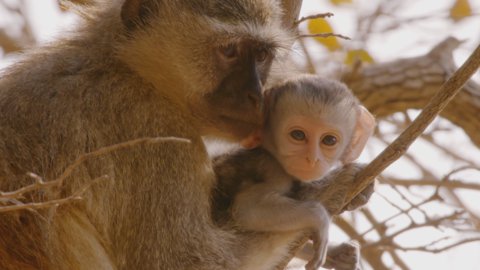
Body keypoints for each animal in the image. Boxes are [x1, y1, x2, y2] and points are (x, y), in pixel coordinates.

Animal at [214, 74, 376, 270]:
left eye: (329, 140)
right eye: (298, 135)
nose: (312, 159)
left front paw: (339, 254)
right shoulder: (272, 169)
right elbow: (247, 208)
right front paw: (319, 217)